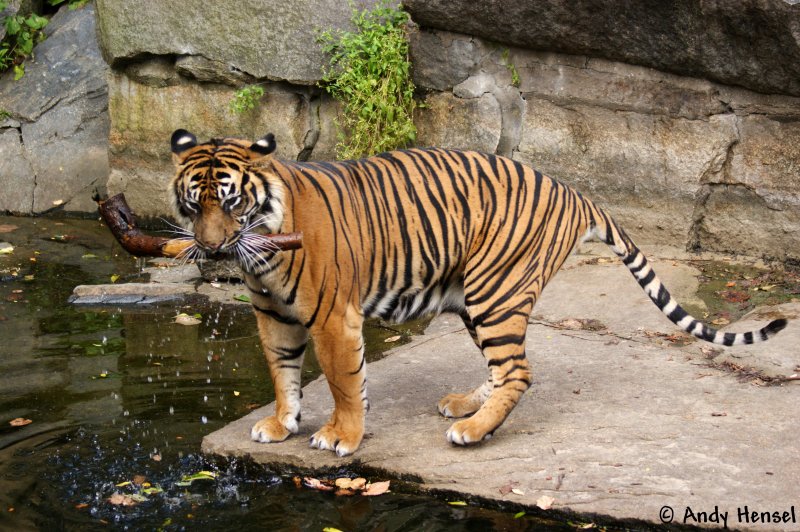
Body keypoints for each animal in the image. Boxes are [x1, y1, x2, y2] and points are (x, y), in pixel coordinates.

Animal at [169, 129, 788, 458]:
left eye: (231, 201)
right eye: (193, 203)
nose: (212, 247)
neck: (263, 250)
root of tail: (576, 193)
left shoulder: (331, 317)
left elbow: (344, 382)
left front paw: (342, 436)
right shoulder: (273, 315)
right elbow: (282, 374)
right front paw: (280, 423)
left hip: (496, 289)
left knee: (518, 371)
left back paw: (471, 430)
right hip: (473, 296)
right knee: (502, 368)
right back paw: (468, 405)